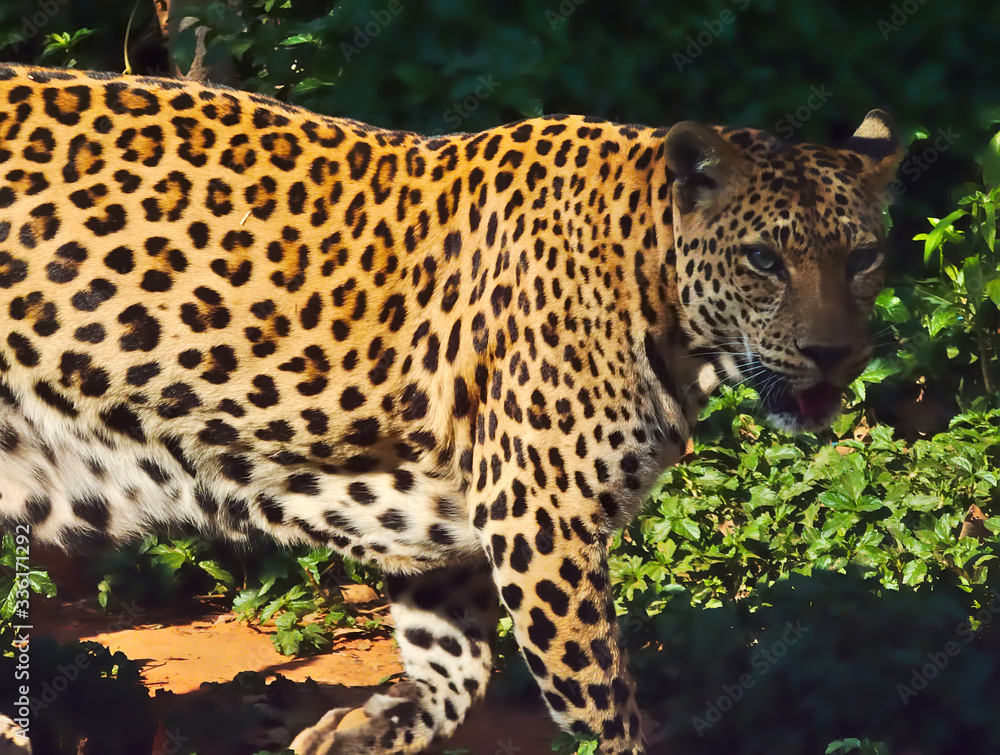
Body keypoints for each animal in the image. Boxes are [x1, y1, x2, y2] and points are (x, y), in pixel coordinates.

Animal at [0, 63, 901, 755]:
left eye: (863, 257)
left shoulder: (448, 522)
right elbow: (600, 702)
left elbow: (455, 669)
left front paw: (361, 728)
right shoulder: (543, 518)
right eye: (763, 260)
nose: (835, 353)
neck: (651, 280)